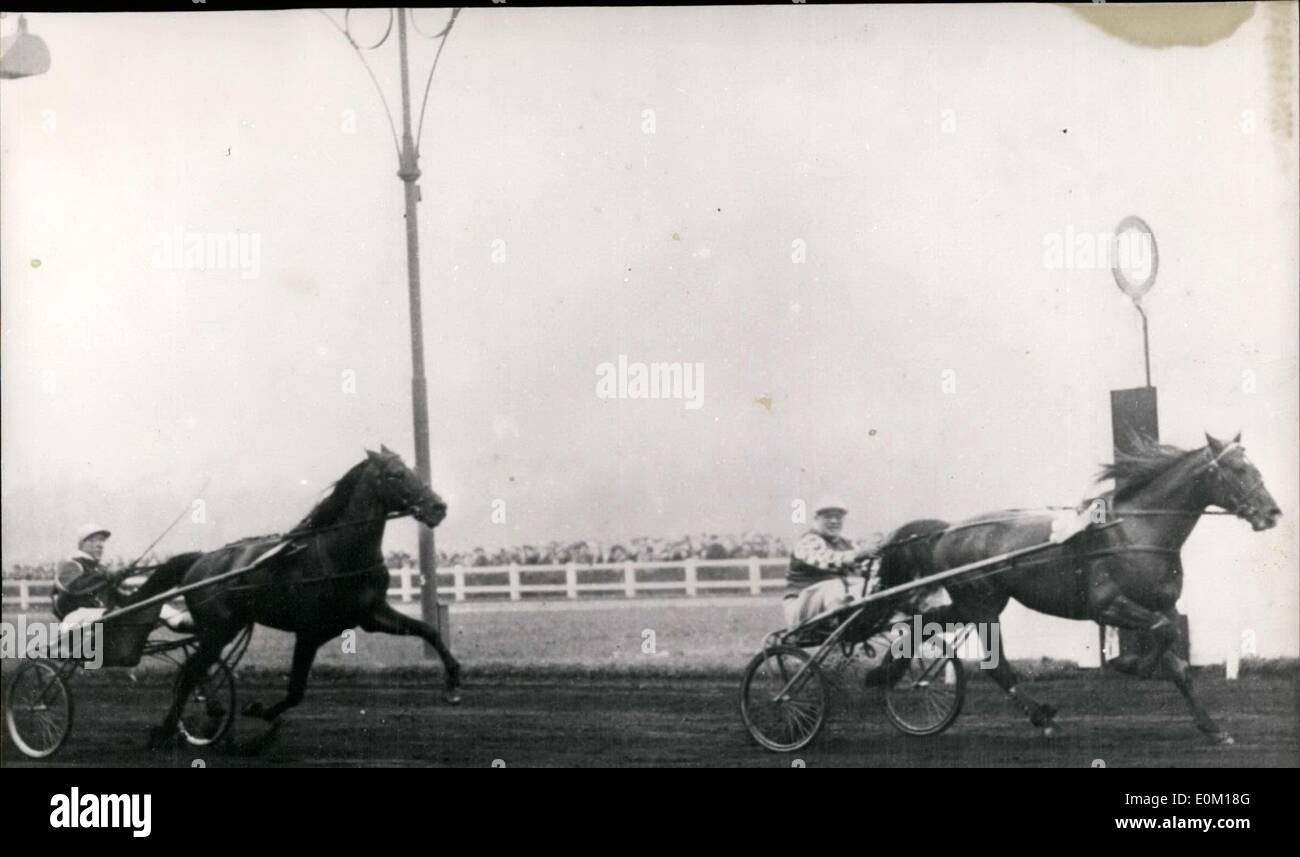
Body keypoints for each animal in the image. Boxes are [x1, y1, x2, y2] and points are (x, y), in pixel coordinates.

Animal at [141, 444, 457, 749]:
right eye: (395, 474)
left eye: (414, 469)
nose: (438, 507)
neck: (341, 555)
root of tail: (200, 560)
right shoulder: (309, 632)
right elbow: (295, 691)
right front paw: (260, 710)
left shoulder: (371, 614)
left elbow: (429, 630)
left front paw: (453, 682)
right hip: (218, 629)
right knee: (191, 673)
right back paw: (168, 731)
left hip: (224, 628)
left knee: (196, 669)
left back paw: (209, 715)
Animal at [883, 431, 1279, 749]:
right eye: (1238, 469)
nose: (1272, 512)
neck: (1136, 532)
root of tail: (946, 530)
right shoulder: (1108, 605)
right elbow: (1162, 633)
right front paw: (1128, 663)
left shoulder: (1160, 606)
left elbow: (1176, 656)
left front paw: (1212, 728)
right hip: (981, 604)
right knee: (995, 665)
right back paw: (1040, 718)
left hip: (979, 602)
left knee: (929, 623)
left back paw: (897, 673)